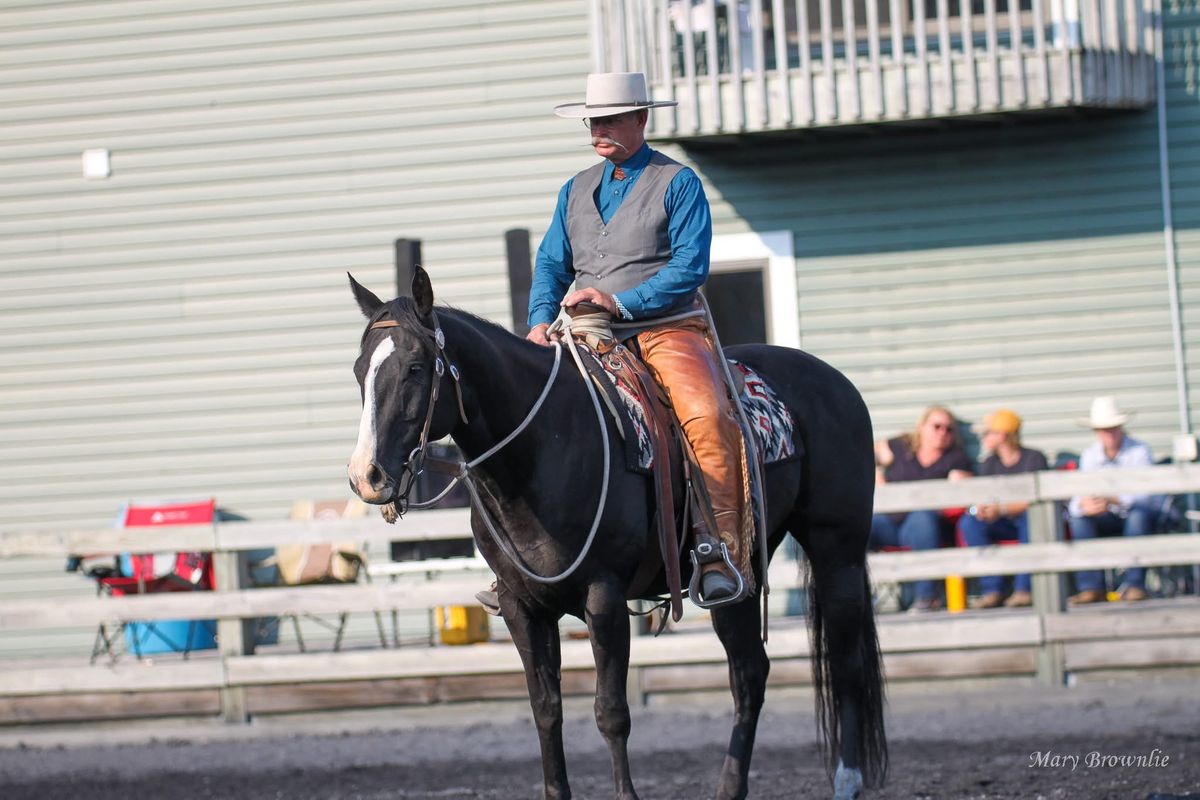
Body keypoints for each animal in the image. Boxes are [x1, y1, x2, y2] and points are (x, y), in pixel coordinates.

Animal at [345, 271, 883, 800]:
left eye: (415, 367)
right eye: (358, 370)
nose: (366, 476)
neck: (544, 445)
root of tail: (835, 383)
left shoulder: (602, 598)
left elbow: (611, 713)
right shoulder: (521, 607)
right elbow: (546, 710)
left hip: (837, 552)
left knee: (845, 663)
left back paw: (848, 778)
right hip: (739, 579)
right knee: (750, 674)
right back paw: (730, 787)